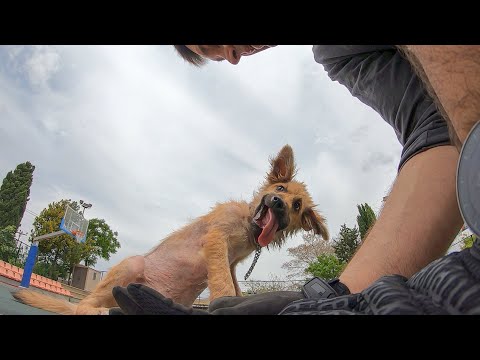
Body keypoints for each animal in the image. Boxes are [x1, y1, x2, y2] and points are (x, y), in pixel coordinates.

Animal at [15, 145, 330, 314]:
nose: (277, 203)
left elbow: (234, 287)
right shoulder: (216, 239)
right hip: (131, 265)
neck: (247, 223)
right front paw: (223, 301)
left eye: (297, 205)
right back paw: (102, 310)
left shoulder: (232, 263)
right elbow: (223, 284)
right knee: (84, 306)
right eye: (280, 189)